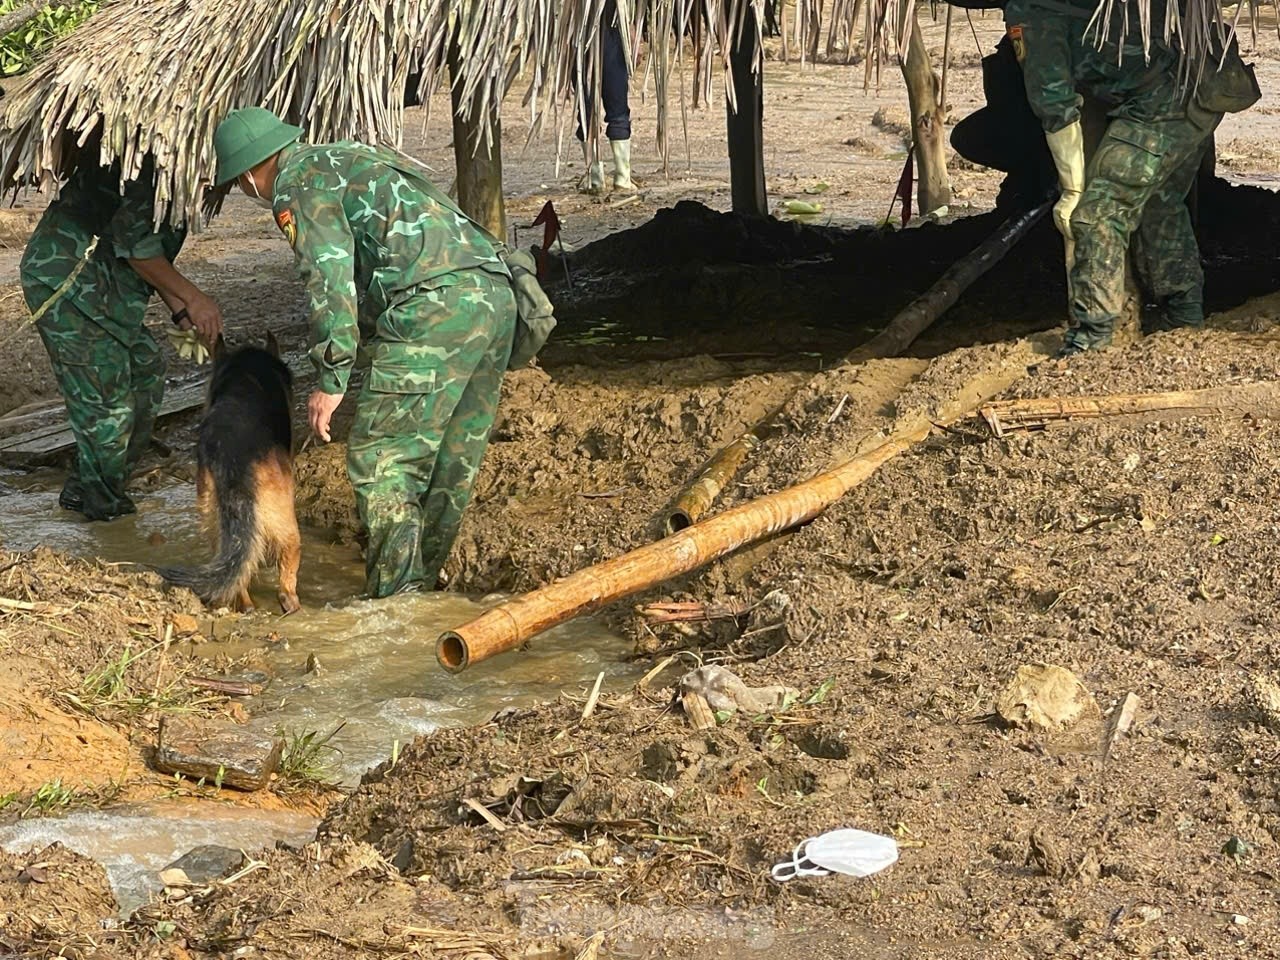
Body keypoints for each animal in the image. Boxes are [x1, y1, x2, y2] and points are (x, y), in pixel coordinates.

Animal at [157, 335, 299, 611]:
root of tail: (234, 458)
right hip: (285, 524)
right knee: (287, 574)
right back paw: (290, 603)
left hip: (212, 516)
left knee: (235, 574)